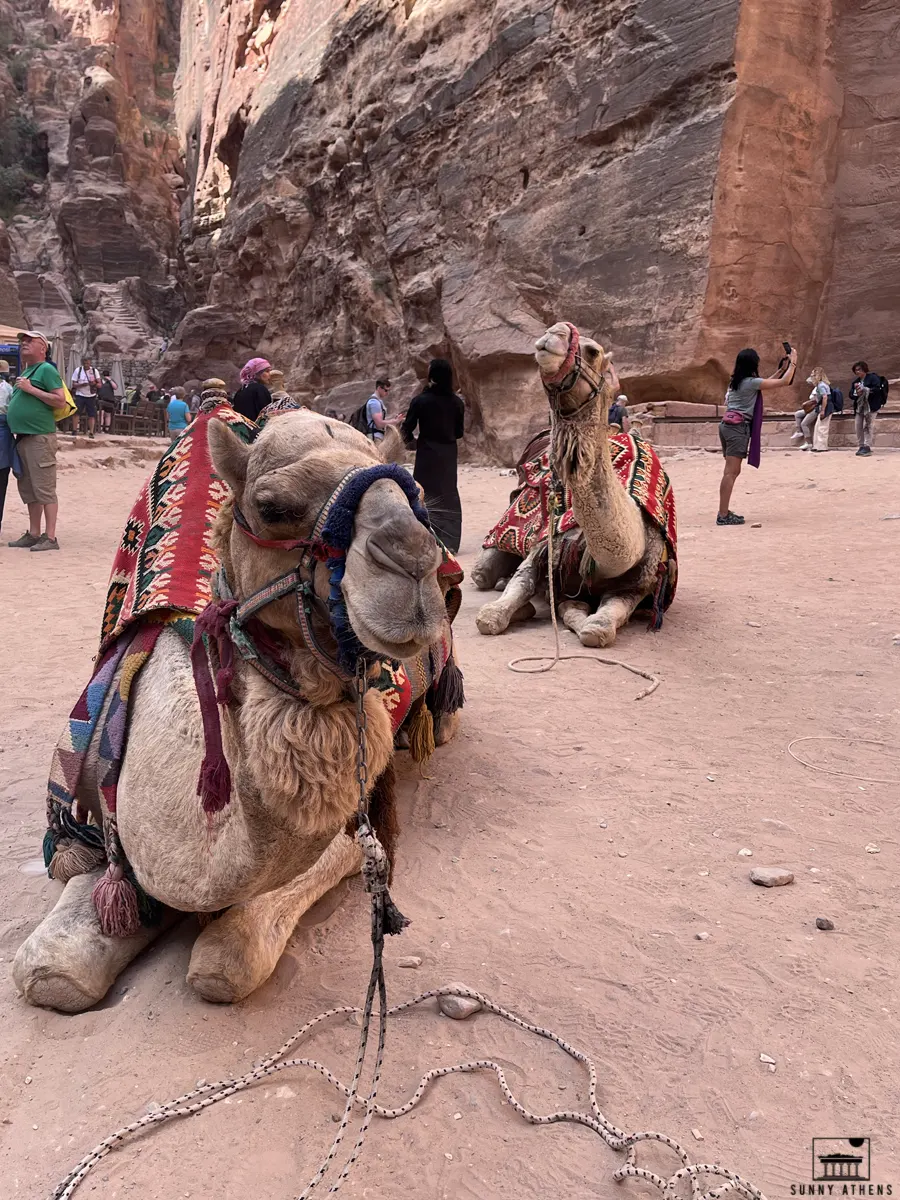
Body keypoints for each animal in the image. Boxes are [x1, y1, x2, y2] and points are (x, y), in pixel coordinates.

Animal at [14, 412, 460, 1012]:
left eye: (416, 500)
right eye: (272, 506)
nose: (413, 558)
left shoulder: (354, 830)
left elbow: (228, 964)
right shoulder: (99, 825)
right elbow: (50, 968)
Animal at [472, 321, 676, 648]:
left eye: (593, 352)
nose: (553, 333)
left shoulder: (639, 583)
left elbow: (600, 626)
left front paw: (577, 612)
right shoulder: (545, 545)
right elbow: (499, 607)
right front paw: (520, 607)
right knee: (481, 573)